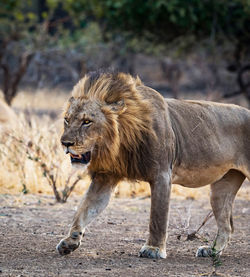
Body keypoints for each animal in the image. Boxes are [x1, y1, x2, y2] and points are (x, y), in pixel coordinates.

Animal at [56, 70, 250, 258]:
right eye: (67, 119)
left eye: (87, 121)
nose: (65, 143)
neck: (119, 142)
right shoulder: (106, 177)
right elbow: (85, 208)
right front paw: (70, 241)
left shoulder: (162, 174)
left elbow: (157, 216)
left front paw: (153, 249)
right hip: (221, 188)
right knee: (227, 226)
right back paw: (212, 251)